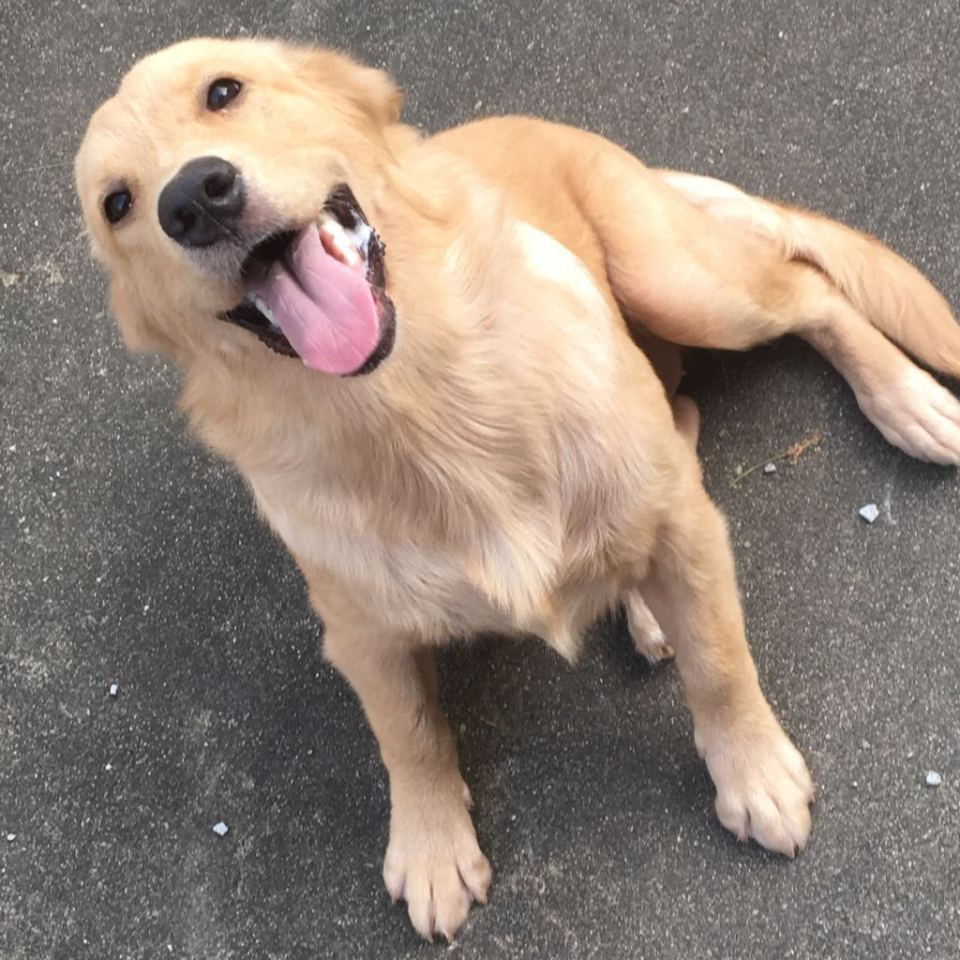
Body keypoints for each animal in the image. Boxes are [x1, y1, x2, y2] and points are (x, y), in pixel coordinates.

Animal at [75, 37, 960, 941]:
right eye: (116, 204)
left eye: (223, 91)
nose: (194, 199)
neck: (425, 409)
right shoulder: (363, 635)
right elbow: (409, 735)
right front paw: (432, 847)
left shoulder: (684, 529)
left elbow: (719, 662)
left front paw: (754, 775)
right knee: (684, 407)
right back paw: (644, 604)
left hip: (681, 286)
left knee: (809, 287)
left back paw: (908, 402)